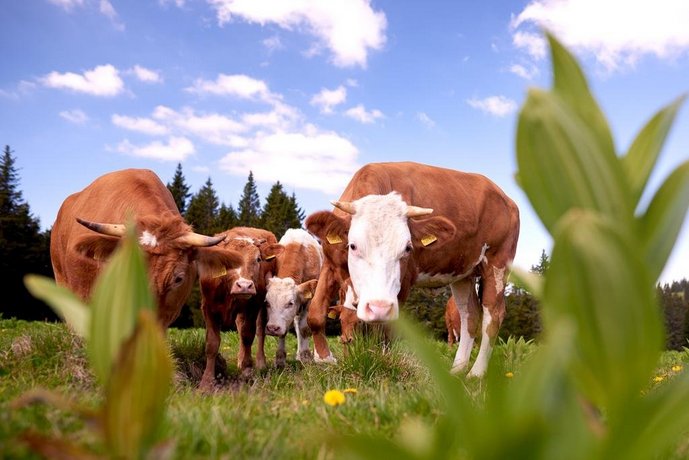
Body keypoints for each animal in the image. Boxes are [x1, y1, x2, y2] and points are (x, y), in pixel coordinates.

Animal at [198, 226, 284, 388]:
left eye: (258, 259)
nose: (244, 286)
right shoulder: (208, 306)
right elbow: (212, 343)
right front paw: (207, 381)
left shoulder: (253, 305)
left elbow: (247, 335)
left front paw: (247, 370)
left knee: (260, 330)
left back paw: (259, 363)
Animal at [264, 229, 322, 366]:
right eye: (267, 302)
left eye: (290, 303)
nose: (272, 328)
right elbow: (285, 330)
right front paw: (280, 359)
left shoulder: (308, 300)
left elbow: (305, 328)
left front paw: (306, 357)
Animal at [304, 162, 520, 378]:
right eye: (353, 246)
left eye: (407, 248)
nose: (348, 343)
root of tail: (505, 197)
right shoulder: (329, 264)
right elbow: (315, 313)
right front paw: (324, 359)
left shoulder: (405, 280)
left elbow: (385, 329)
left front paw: (380, 362)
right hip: (463, 273)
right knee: (470, 315)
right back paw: (456, 370)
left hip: (497, 263)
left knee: (493, 315)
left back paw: (476, 373)